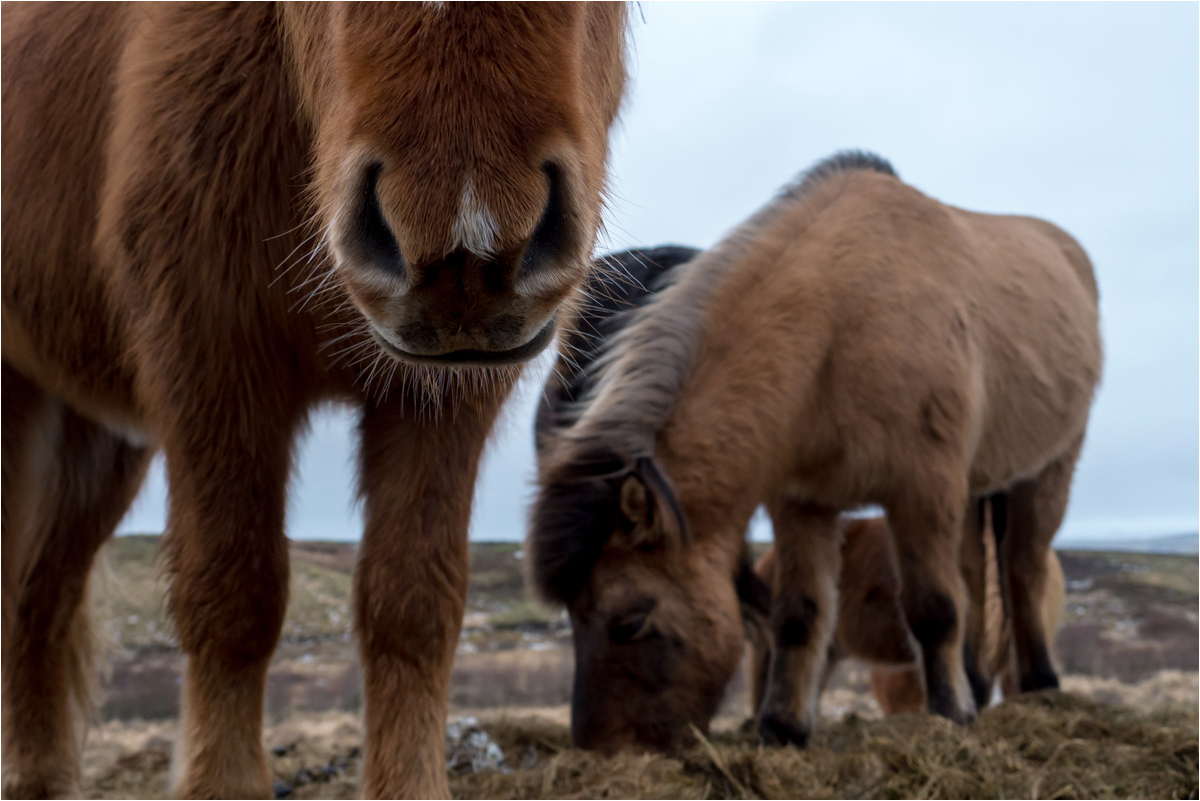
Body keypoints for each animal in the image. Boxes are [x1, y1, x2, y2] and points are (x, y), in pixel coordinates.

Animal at [2, 4, 628, 796]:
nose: (464, 239)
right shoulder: (211, 360)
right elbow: (234, 594)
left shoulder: (447, 396)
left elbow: (413, 604)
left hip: (103, 441)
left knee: (41, 598)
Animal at [525, 149, 1099, 753]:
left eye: (630, 621)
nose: (601, 750)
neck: (842, 327)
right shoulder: (804, 504)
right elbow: (798, 616)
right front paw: (783, 726)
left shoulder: (923, 490)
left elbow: (934, 607)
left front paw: (949, 715)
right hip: (973, 489)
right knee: (975, 571)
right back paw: (976, 682)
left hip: (1048, 469)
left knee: (1022, 566)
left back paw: (1039, 684)